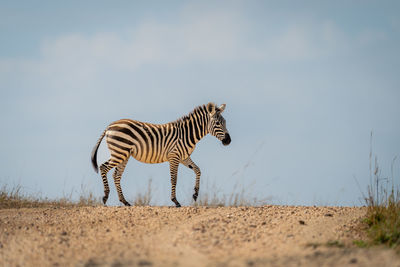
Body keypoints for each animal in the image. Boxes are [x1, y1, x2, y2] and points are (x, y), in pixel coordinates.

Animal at [89, 102, 230, 207]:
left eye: (225, 122)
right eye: (218, 123)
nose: (228, 141)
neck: (187, 134)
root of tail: (110, 125)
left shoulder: (184, 157)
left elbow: (198, 170)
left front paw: (195, 194)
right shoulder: (174, 156)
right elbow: (174, 178)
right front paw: (175, 201)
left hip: (124, 154)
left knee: (116, 175)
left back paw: (125, 201)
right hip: (119, 152)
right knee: (103, 167)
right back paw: (105, 196)